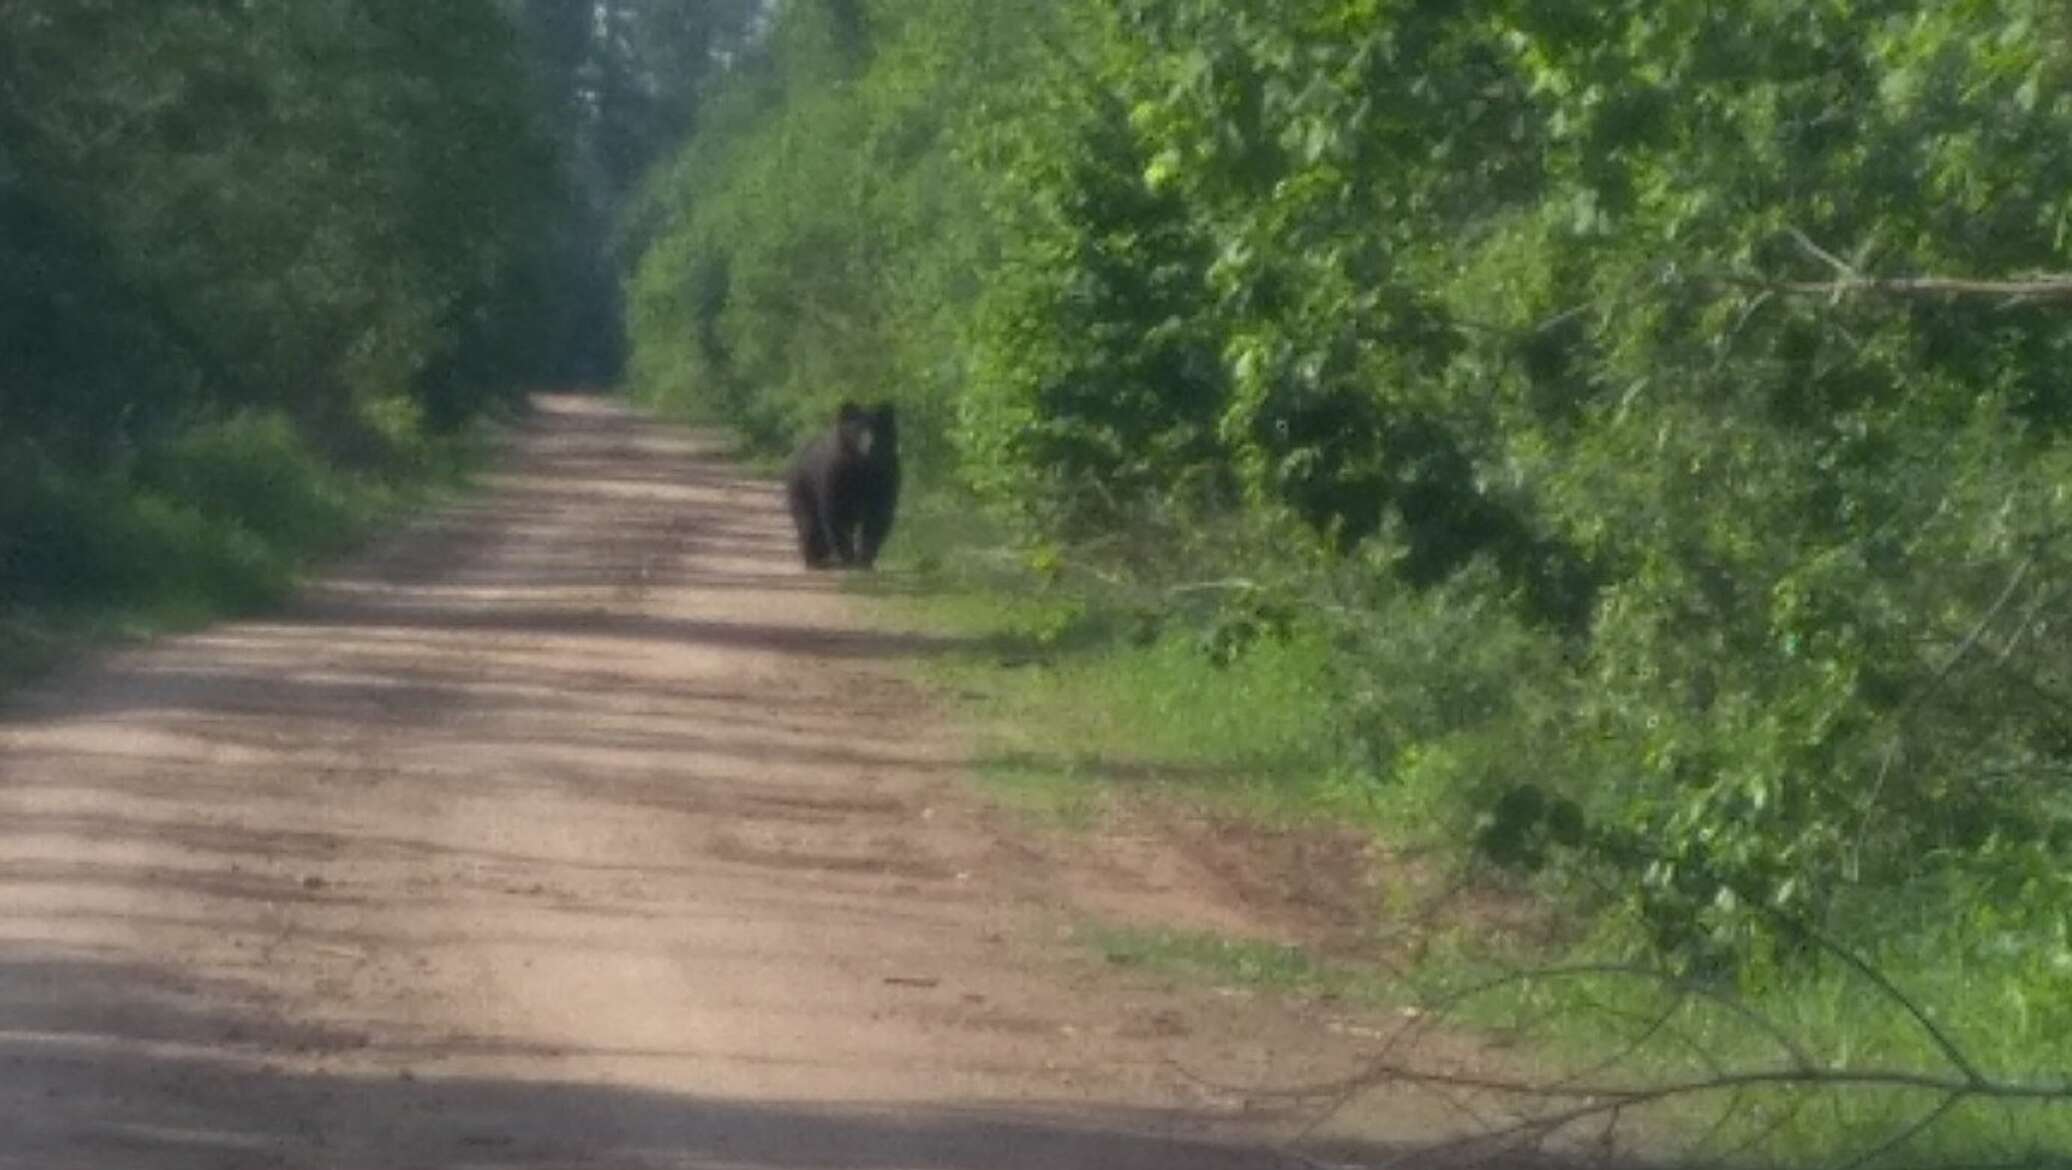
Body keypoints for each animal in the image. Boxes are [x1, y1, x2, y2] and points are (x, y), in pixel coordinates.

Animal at [783, 399, 899, 567]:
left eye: (877, 429)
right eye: (858, 429)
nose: (870, 446)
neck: (862, 467)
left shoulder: (884, 476)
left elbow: (878, 516)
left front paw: (865, 559)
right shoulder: (836, 476)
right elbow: (836, 515)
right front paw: (848, 557)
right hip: (802, 488)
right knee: (809, 523)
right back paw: (814, 557)